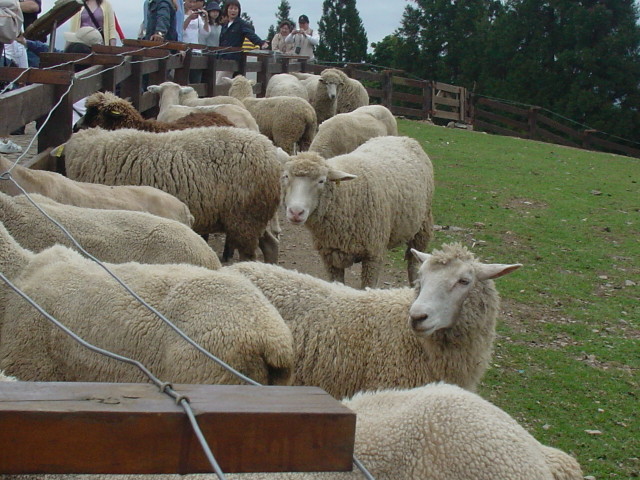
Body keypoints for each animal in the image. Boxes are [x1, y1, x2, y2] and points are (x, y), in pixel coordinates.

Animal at [282, 136, 434, 288]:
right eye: (286, 176)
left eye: (321, 181)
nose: (296, 212)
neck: (345, 196)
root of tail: (401, 137)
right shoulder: (331, 256)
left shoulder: (373, 255)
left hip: (422, 227)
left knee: (413, 265)